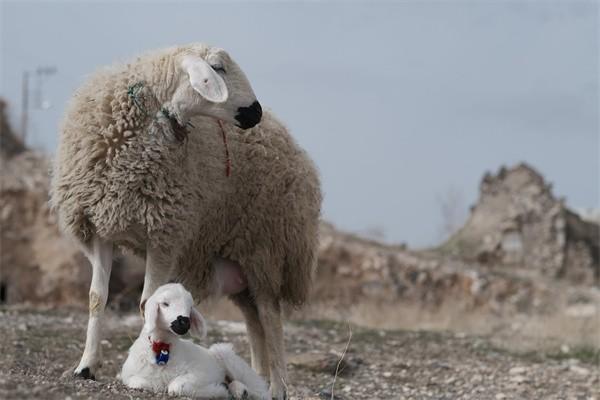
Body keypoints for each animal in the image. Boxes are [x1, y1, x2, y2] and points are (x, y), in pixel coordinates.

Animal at [120, 282, 268, 398]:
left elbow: (176, 386)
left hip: (228, 357)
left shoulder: (199, 373)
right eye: (165, 304)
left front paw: (218, 389)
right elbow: (141, 382)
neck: (162, 348)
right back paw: (237, 390)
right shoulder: (128, 376)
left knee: (260, 389)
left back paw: (241, 390)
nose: (185, 321)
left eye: (190, 307)